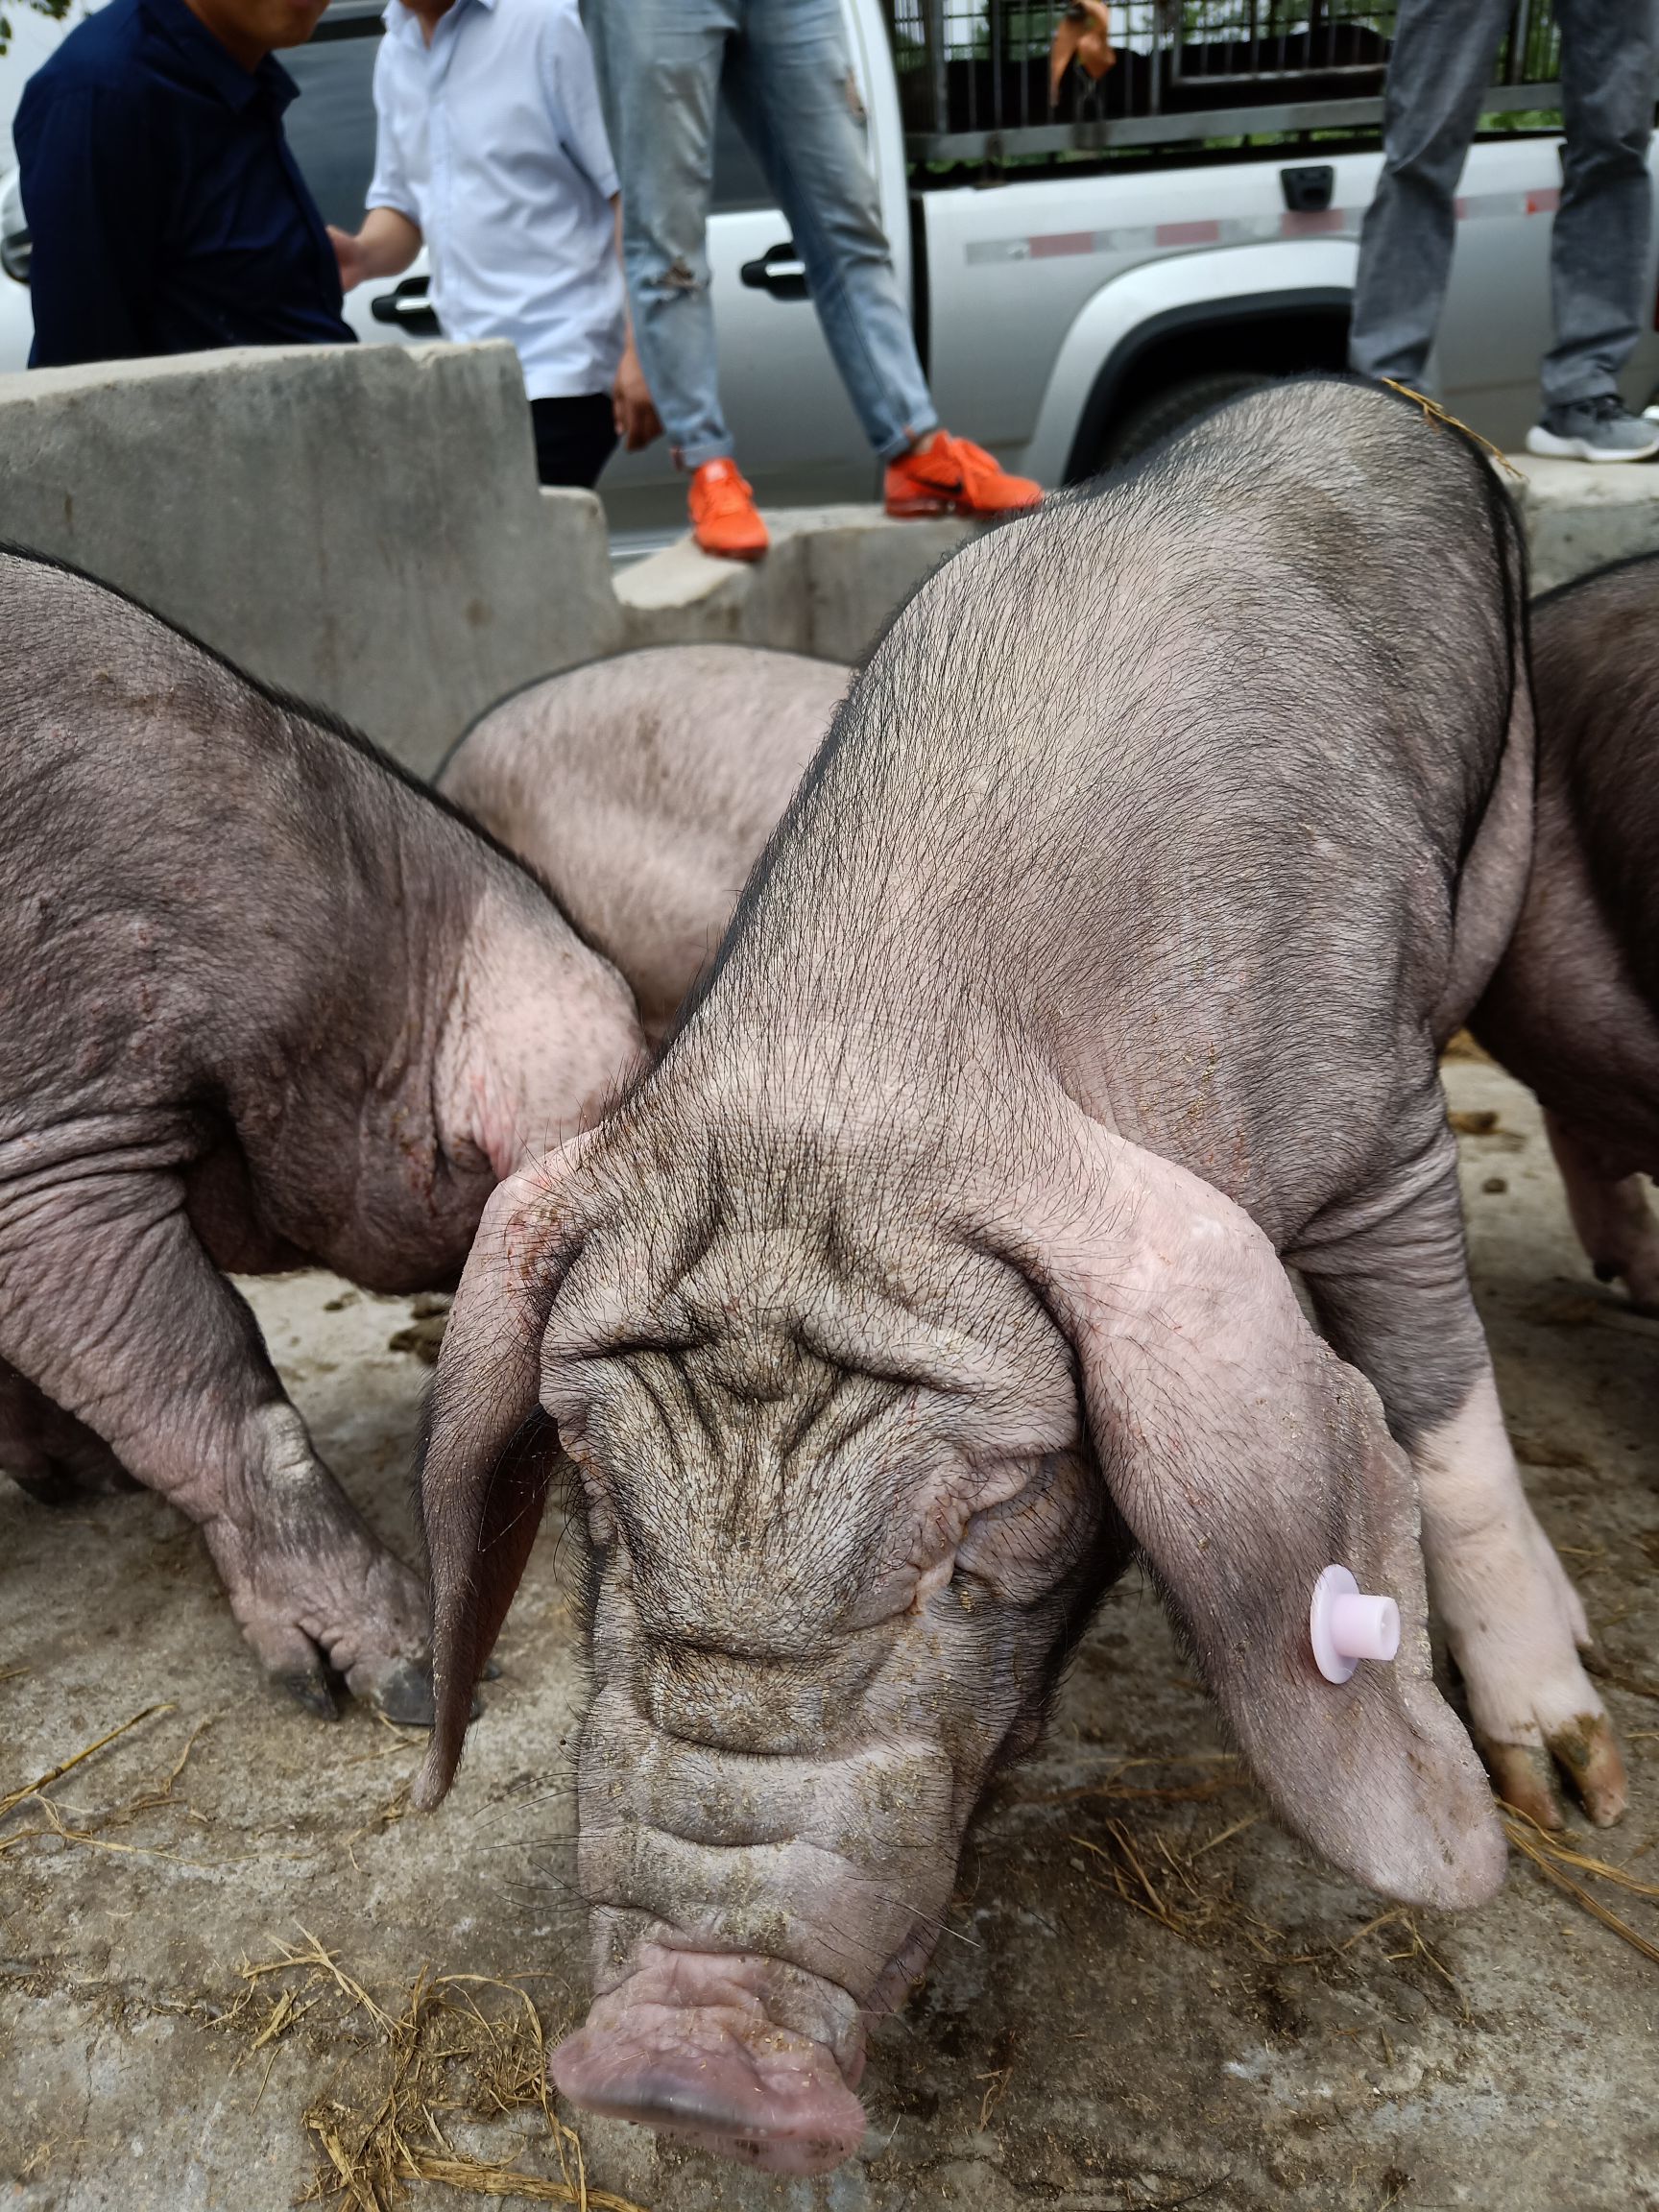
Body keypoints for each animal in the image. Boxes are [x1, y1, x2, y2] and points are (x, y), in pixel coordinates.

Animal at [416, 375, 1627, 2158]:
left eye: (985, 1528)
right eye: (592, 1495)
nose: (678, 2058)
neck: (873, 1037)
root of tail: (1354, 387)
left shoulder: (1388, 1122)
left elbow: (1436, 1406)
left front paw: (1563, 1784)